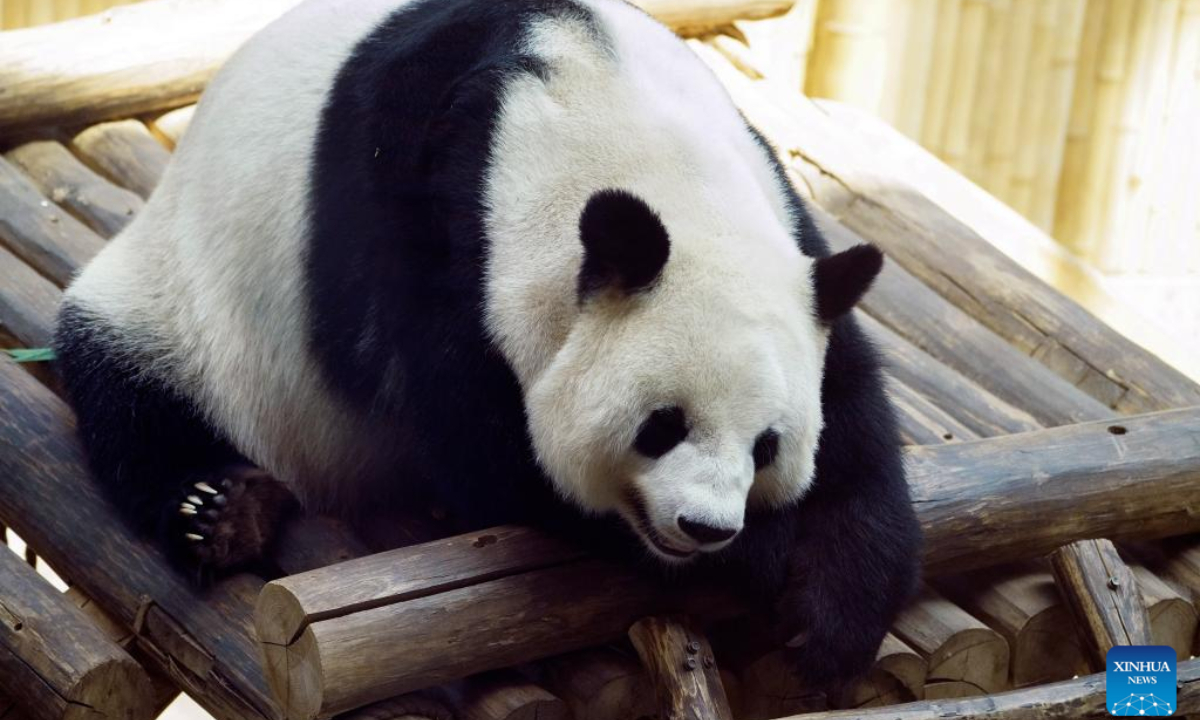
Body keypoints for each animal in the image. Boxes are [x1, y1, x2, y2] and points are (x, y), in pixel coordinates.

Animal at [54, 0, 920, 687]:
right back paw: (224, 510)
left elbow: (852, 405)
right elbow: (489, 456)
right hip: (185, 300)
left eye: (768, 445)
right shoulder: (426, 220)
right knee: (130, 395)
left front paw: (836, 607)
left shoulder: (786, 228)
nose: (706, 528)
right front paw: (763, 555)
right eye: (662, 425)